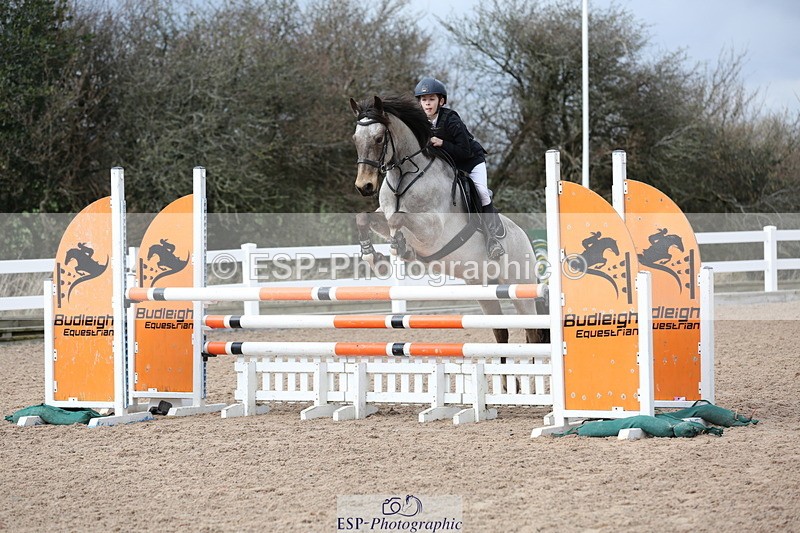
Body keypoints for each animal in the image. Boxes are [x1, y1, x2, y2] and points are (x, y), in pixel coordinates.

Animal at [349, 95, 547, 347]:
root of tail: (525, 237)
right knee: (501, 332)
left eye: (379, 138)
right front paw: (374, 256)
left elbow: (397, 218)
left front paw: (399, 248)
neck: (405, 176)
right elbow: (364, 218)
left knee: (533, 331)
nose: (364, 186)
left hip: (521, 289)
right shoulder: (382, 215)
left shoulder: (432, 229)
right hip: (482, 288)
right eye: (355, 139)